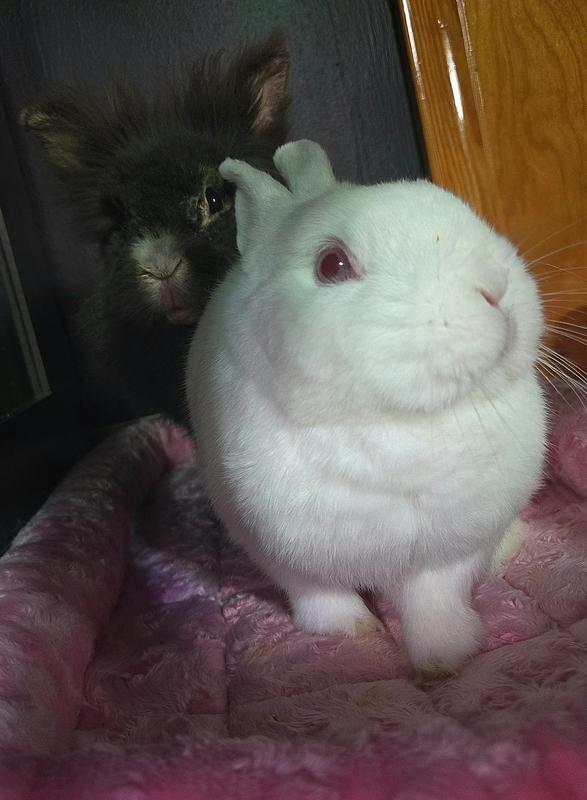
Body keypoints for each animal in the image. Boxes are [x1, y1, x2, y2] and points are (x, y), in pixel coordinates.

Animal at [185, 139, 547, 677]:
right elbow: (321, 597)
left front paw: (442, 660)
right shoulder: (281, 550)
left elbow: (434, 602)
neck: (393, 422)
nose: (495, 289)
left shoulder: (448, 550)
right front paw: (355, 632)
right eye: (332, 265)